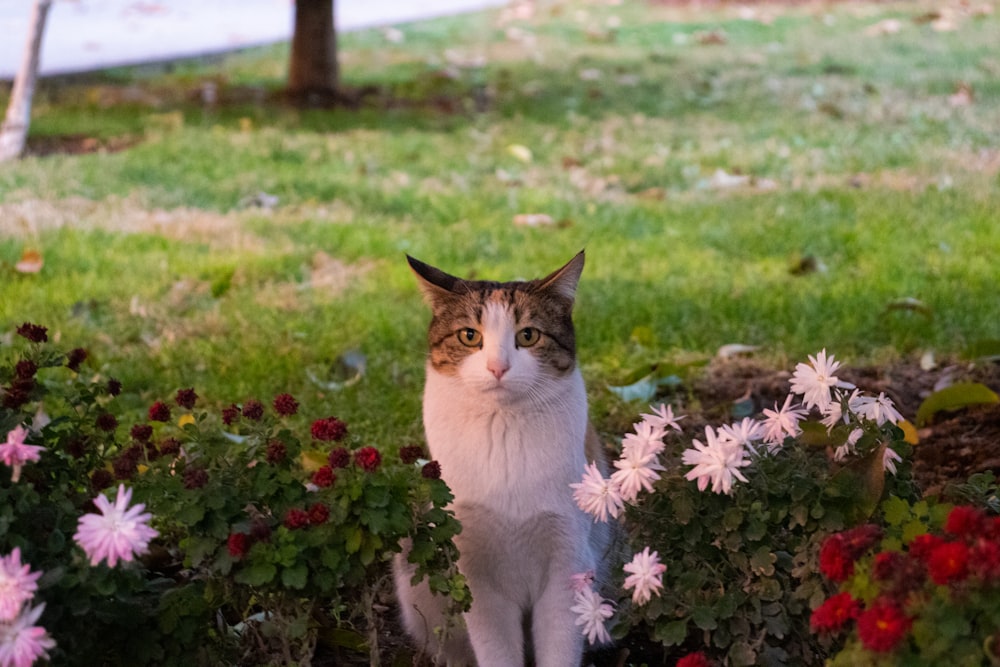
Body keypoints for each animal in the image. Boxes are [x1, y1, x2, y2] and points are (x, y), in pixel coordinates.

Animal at [390, 252, 608, 667]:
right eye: (469, 336)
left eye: (528, 335)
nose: (498, 367)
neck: (503, 432)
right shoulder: (476, 573)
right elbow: (495, 647)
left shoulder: (568, 559)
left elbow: (560, 643)